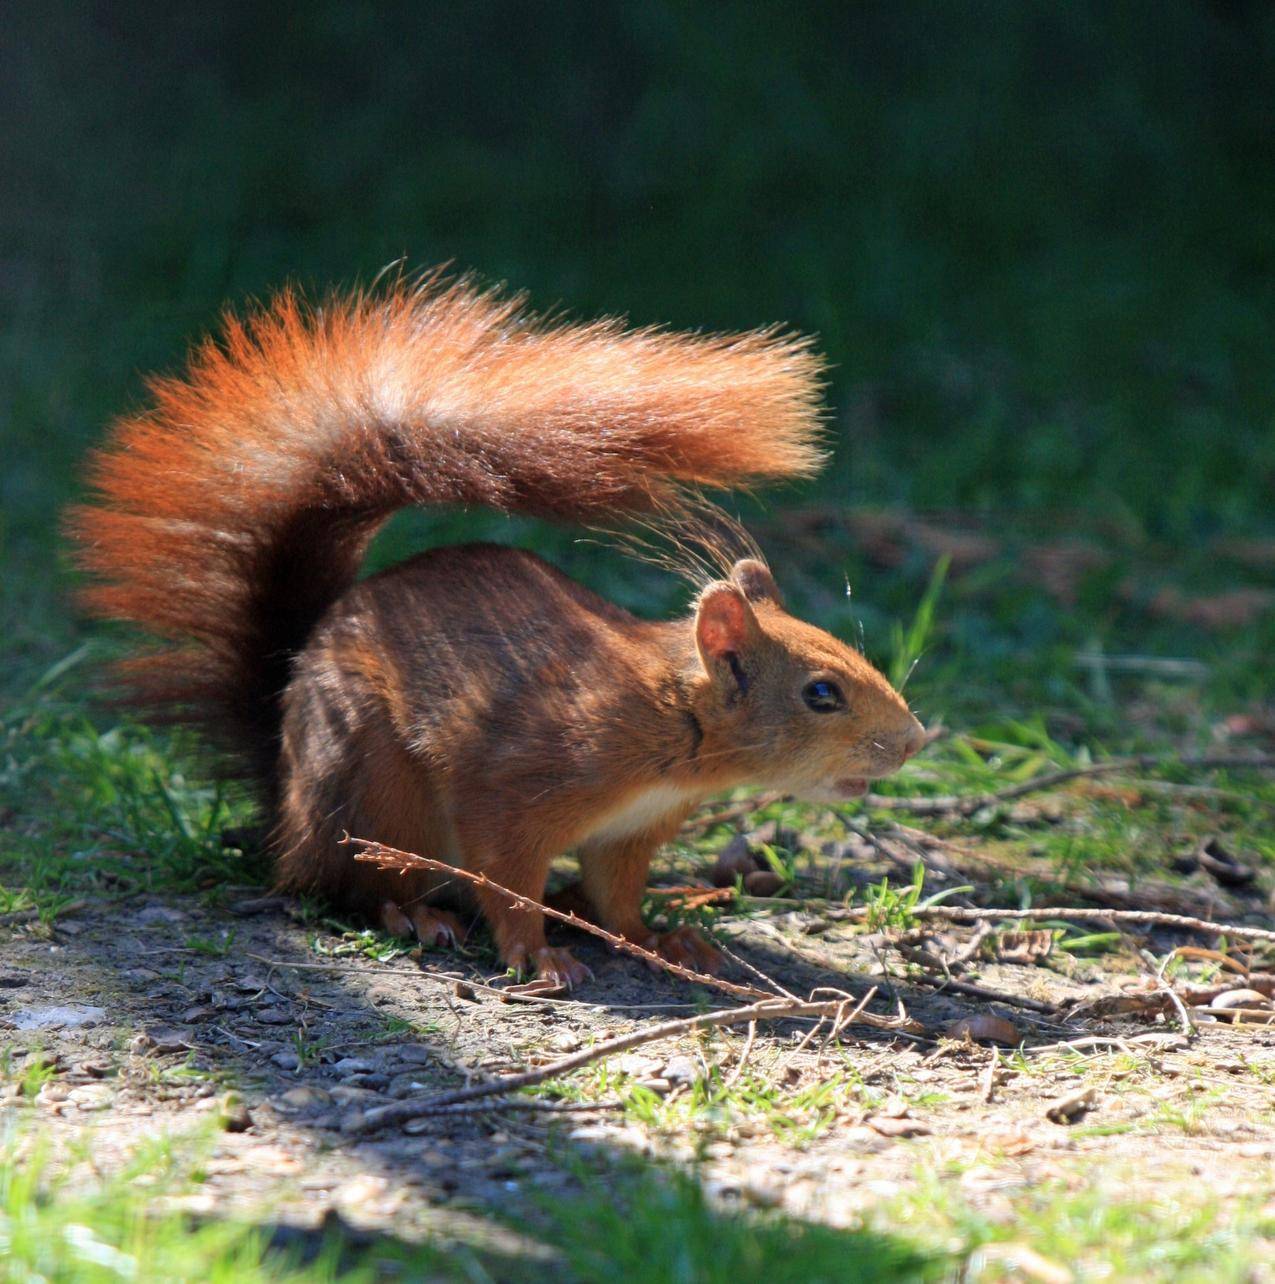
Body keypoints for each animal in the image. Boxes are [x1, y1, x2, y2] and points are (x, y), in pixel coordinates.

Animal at [69, 276, 919, 986]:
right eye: (821, 693)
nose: (914, 742)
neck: (671, 722)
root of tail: (283, 804)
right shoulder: (516, 790)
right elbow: (507, 881)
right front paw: (535, 954)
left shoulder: (628, 832)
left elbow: (617, 895)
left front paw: (654, 937)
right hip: (381, 793)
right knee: (352, 886)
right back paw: (416, 913)